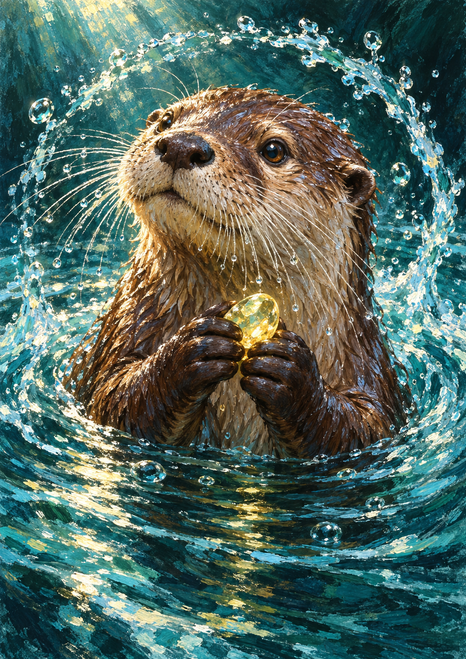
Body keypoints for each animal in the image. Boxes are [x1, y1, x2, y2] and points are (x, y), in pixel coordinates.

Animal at [64, 87, 407, 458]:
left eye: (274, 150)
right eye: (167, 120)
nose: (182, 145)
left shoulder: (367, 369)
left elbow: (360, 428)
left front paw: (295, 378)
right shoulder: (121, 333)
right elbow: (113, 397)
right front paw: (188, 350)